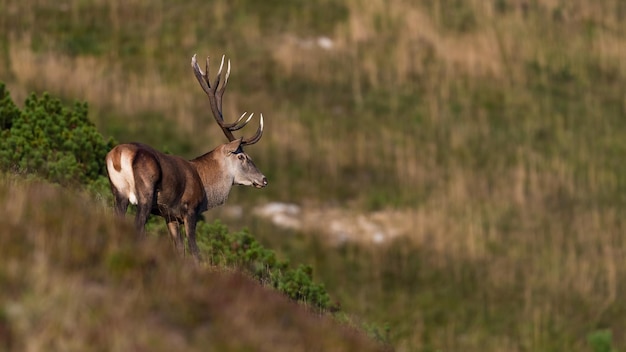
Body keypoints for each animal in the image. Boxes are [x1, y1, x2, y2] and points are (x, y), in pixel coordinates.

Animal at [105, 55, 266, 258]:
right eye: (242, 157)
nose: (264, 179)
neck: (205, 186)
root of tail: (118, 156)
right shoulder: (190, 210)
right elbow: (195, 251)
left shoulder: (170, 216)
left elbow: (179, 249)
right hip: (145, 192)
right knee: (138, 227)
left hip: (118, 191)